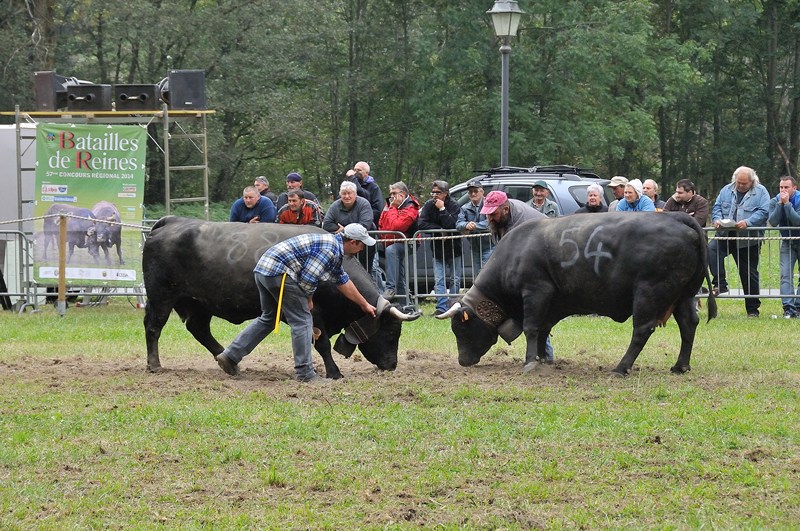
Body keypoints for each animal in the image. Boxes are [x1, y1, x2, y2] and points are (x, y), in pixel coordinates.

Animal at [144, 216, 418, 378]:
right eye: (392, 332)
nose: (392, 364)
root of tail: (171, 221)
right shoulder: (314, 313)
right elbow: (321, 343)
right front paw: (333, 372)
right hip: (161, 296)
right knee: (153, 327)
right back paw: (154, 364)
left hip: (199, 303)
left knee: (198, 329)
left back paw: (228, 360)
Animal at [438, 210, 720, 376]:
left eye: (461, 328)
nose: (463, 361)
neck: (515, 251)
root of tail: (677, 217)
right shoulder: (552, 303)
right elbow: (543, 330)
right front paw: (544, 359)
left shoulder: (535, 291)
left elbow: (531, 328)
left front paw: (530, 362)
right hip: (683, 295)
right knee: (688, 324)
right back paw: (680, 365)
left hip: (649, 292)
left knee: (642, 330)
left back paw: (621, 368)